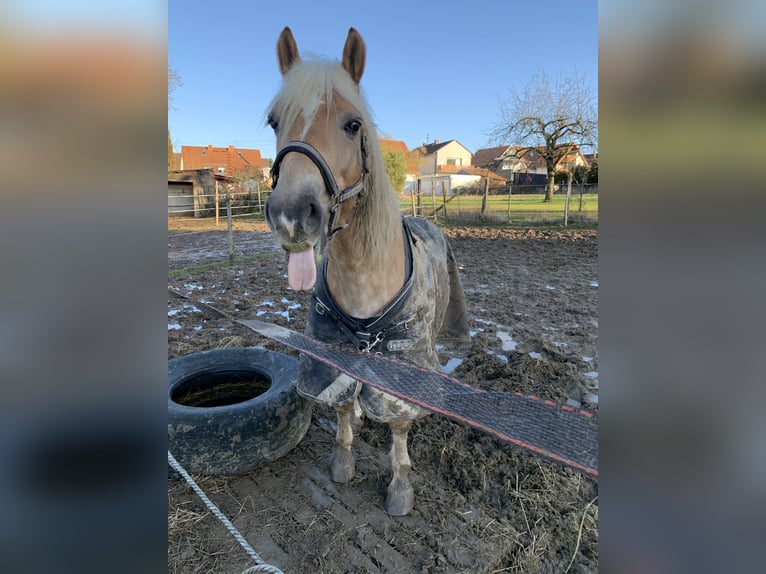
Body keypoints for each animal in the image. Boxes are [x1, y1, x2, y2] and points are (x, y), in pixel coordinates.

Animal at [264, 27, 472, 516]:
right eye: (274, 121)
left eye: (353, 124)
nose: (291, 216)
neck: (363, 278)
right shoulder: (329, 349)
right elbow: (341, 405)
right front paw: (343, 459)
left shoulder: (404, 356)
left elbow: (398, 423)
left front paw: (399, 486)